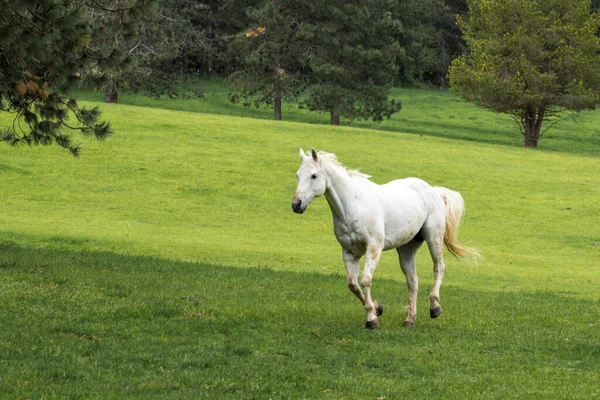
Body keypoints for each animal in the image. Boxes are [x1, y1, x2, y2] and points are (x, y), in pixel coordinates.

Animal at [292, 148, 478, 328]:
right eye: (298, 175)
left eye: (314, 175)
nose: (296, 204)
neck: (353, 205)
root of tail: (434, 191)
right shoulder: (349, 252)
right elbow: (353, 285)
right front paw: (377, 309)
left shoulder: (374, 247)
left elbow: (365, 280)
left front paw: (371, 320)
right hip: (407, 249)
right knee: (412, 281)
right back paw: (409, 320)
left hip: (434, 237)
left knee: (439, 268)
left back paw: (435, 307)